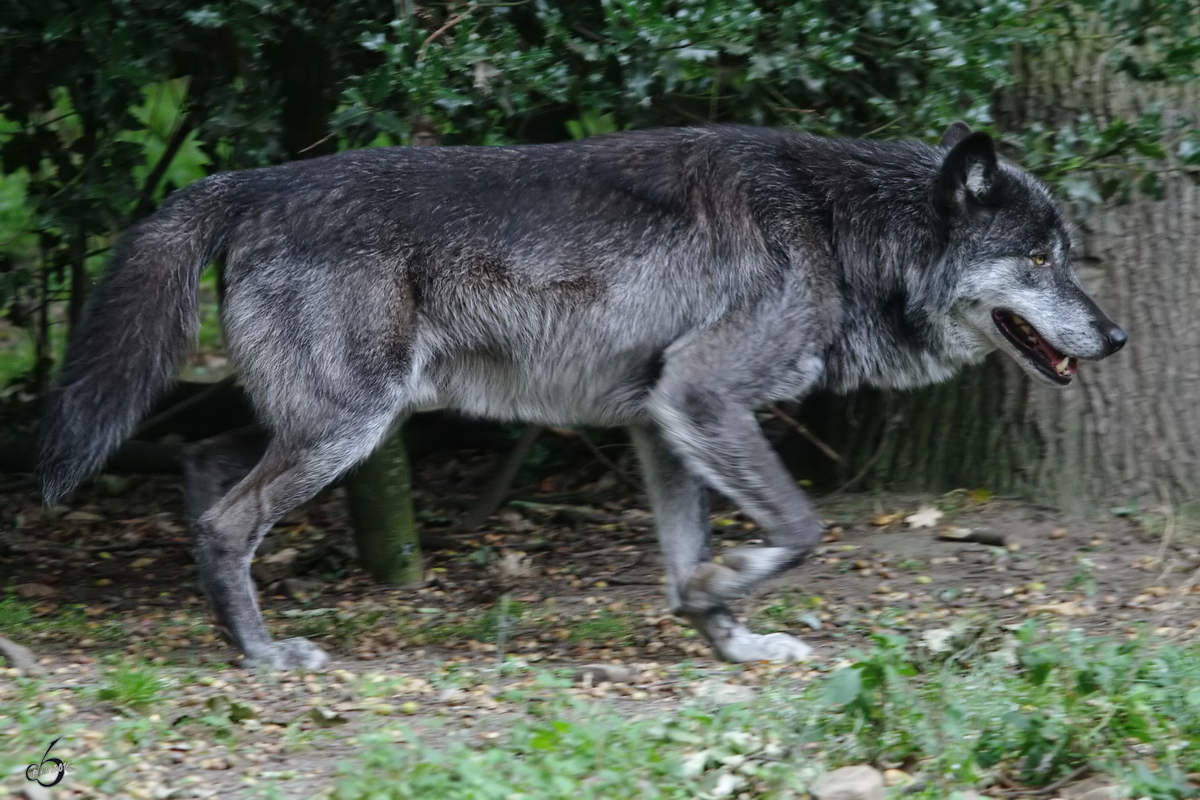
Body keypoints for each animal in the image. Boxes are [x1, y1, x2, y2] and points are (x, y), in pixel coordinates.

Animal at [35, 120, 1123, 671]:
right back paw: (261, 655)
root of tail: (251, 182)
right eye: (1040, 258)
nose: (1113, 336)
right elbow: (802, 527)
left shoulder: (662, 420)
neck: (836, 224)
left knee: (198, 461)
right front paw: (731, 588)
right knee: (227, 516)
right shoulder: (704, 395)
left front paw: (727, 632)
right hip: (349, 424)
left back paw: (234, 627)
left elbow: (689, 560)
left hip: (326, 421)